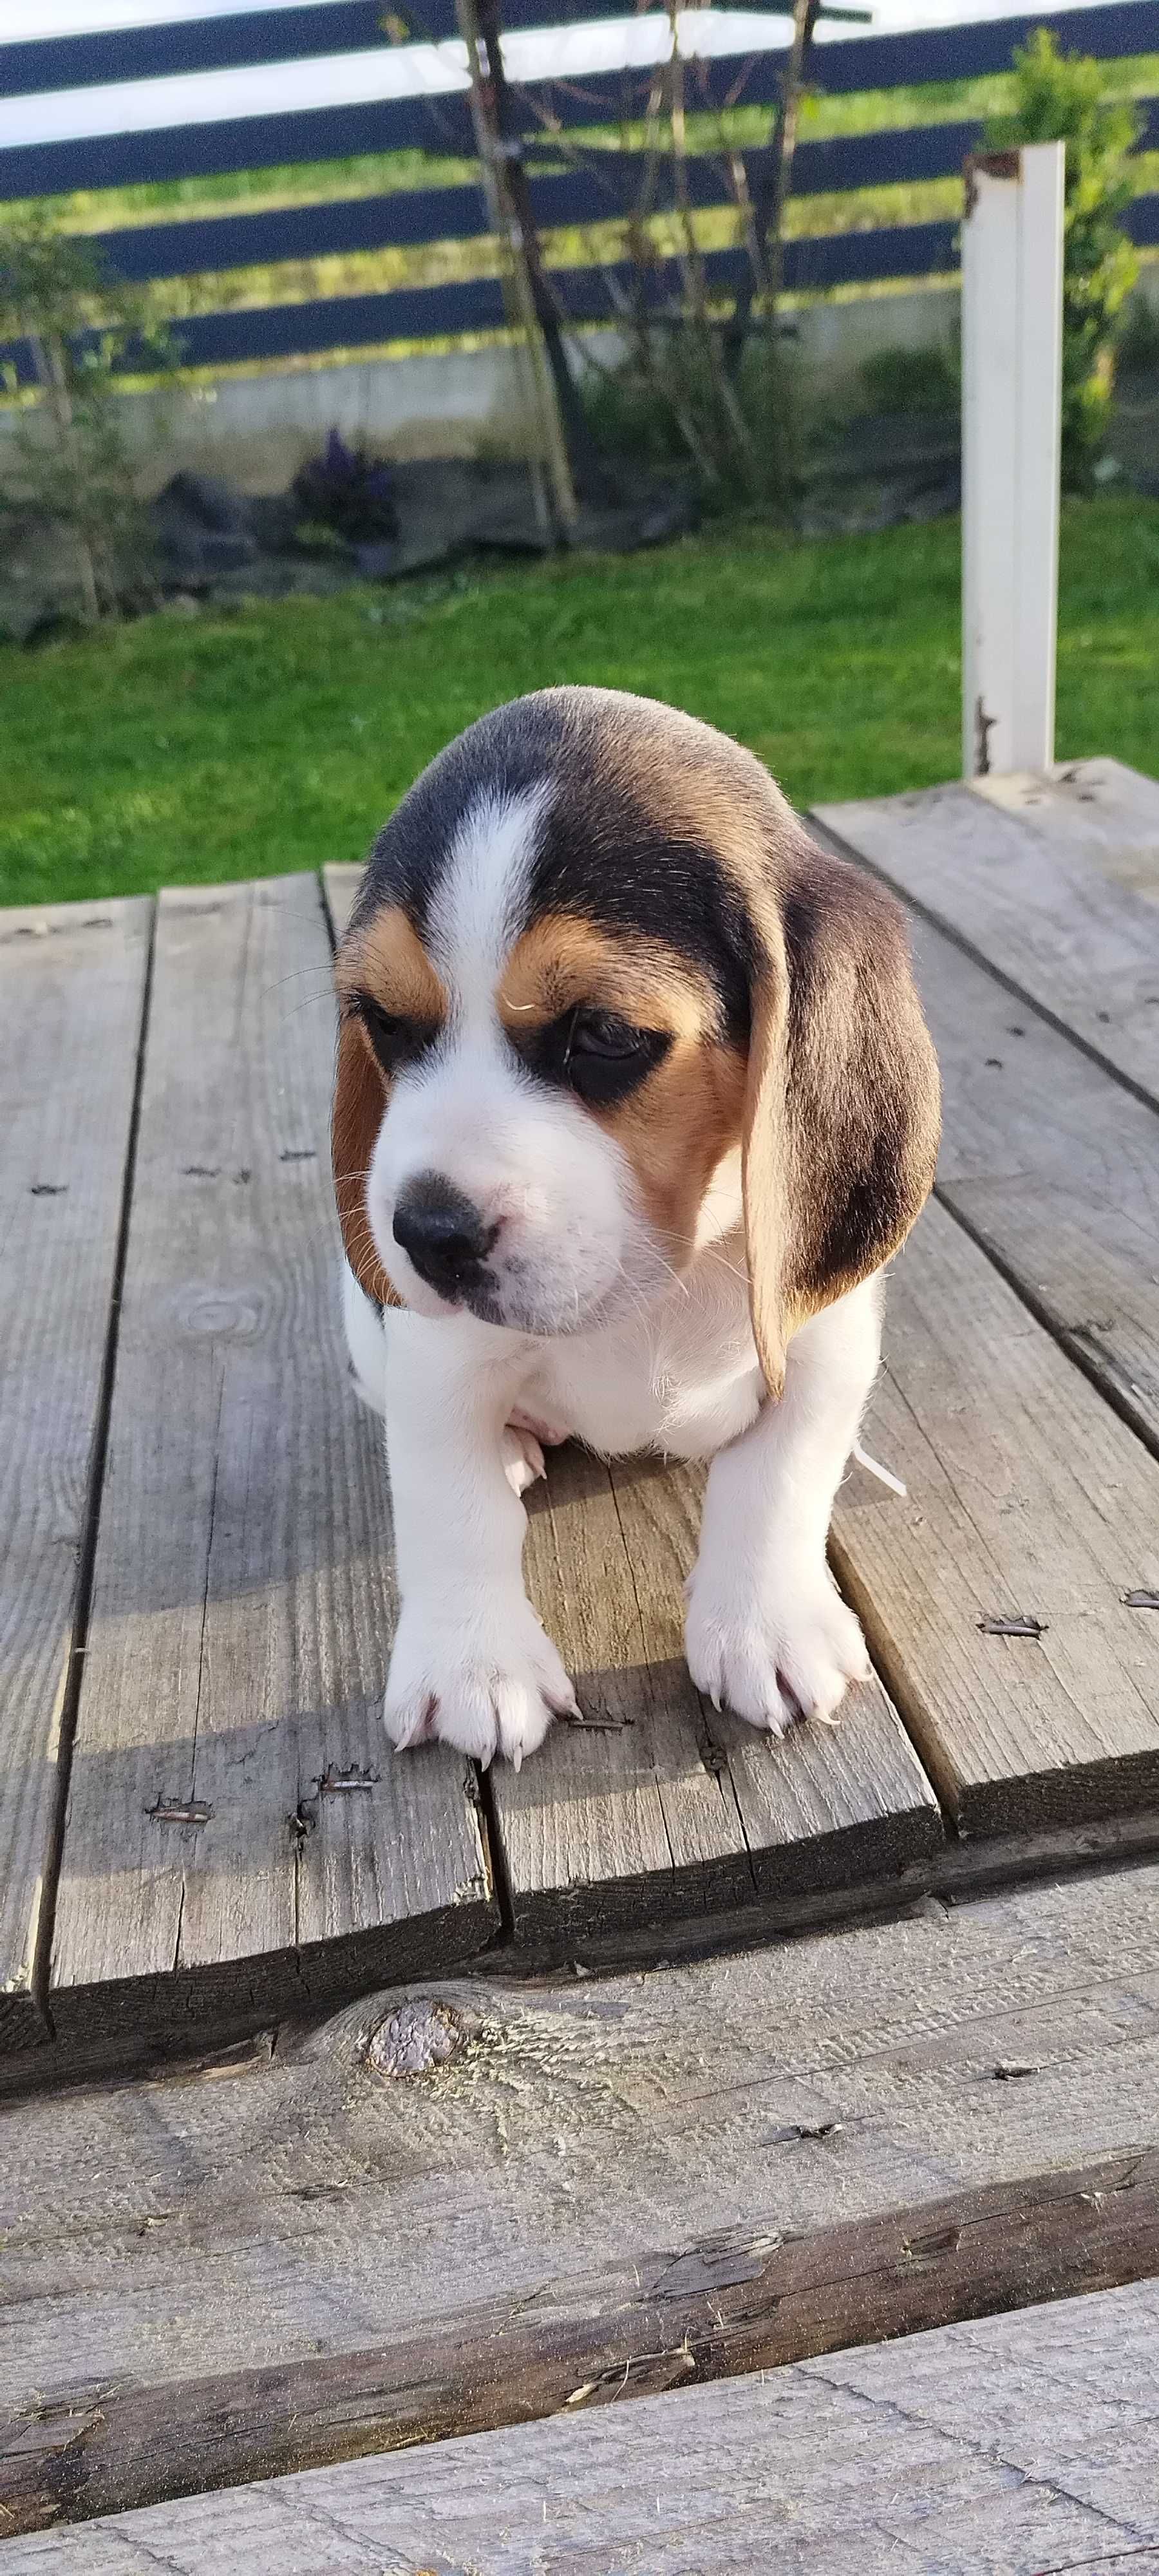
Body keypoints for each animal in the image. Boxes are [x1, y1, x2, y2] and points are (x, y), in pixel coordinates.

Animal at [330, 685, 938, 1772]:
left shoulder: (829, 1341)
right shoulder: (435, 1361)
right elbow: (448, 1500)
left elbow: (779, 1474)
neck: (654, 1278)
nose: (426, 1235)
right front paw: (472, 1665)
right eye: (383, 1021)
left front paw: (766, 1626)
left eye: (605, 1034)